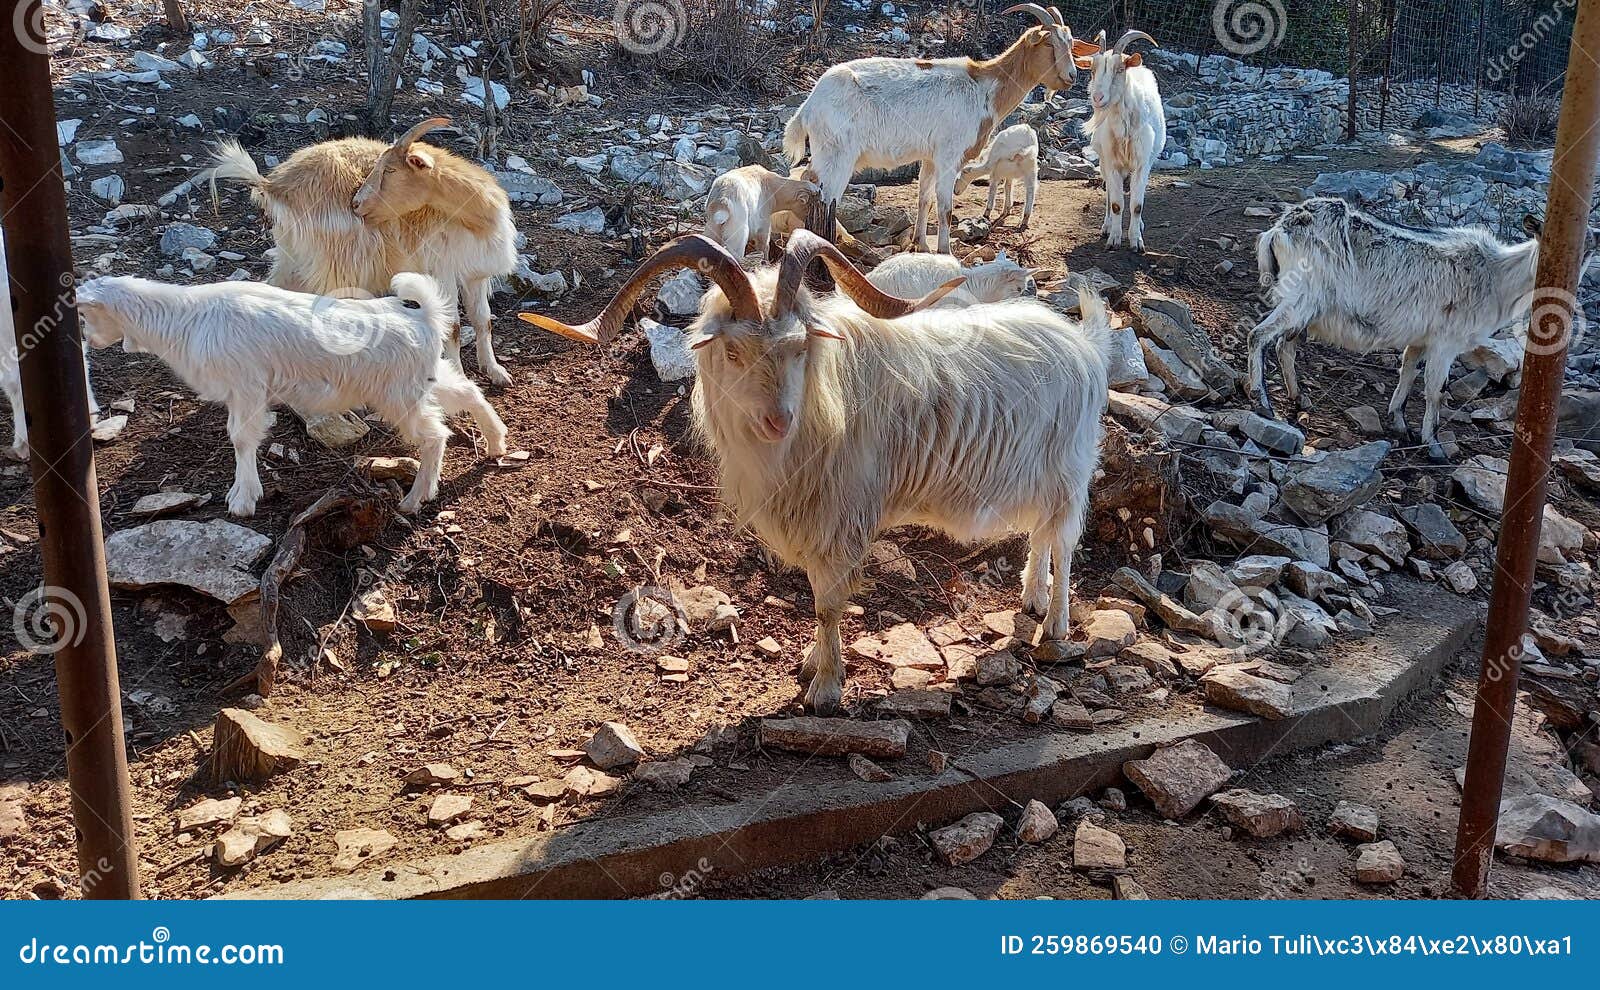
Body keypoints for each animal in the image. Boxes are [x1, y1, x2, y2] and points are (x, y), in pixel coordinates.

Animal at [76, 273, 507, 516]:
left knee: (434, 436)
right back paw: (495, 443)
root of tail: (422, 315)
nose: (90, 342)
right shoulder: (243, 393)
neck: (185, 319)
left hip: (399, 394)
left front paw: (242, 499)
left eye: (84, 313)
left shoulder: (246, 386)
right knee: (467, 391)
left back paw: (415, 498)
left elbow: (241, 437)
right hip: (422, 379)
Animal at [209, 117, 520, 385]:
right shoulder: (441, 271)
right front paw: (460, 376)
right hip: (338, 262)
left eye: (390, 170)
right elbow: (453, 326)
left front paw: (496, 372)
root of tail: (273, 186)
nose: (356, 204)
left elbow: (482, 320)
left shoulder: (475, 274)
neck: (477, 220)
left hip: (292, 256)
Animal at [784, 4, 1097, 254]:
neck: (984, 88)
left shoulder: (931, 156)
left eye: (1071, 44)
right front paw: (946, 252)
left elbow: (924, 198)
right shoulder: (949, 155)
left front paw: (920, 244)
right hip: (838, 154)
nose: (1072, 76)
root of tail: (808, 106)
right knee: (826, 195)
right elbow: (945, 206)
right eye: (1048, 44)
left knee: (808, 181)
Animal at [1081, 30, 1165, 252]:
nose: (1097, 97)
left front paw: (1136, 241)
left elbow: (1137, 204)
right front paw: (1114, 239)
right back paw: (1107, 226)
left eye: (1119, 69)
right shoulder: (1112, 163)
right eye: (1092, 70)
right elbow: (1117, 203)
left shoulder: (1143, 164)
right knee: (1110, 192)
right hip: (1103, 161)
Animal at [1248, 198, 1594, 461]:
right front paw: (1434, 446)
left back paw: (1298, 398)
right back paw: (1262, 402)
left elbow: (1408, 371)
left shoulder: (1420, 339)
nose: (1567, 283)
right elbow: (1435, 390)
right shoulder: (1446, 343)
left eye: (1588, 253)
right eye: (1546, 241)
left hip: (1306, 309)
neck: (1497, 277)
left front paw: (1400, 422)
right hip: (1301, 298)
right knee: (1259, 336)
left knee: (1285, 345)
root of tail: (1278, 231)